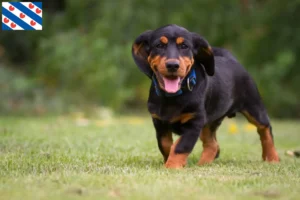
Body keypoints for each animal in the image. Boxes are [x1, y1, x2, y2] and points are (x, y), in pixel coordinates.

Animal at [131, 24, 278, 169]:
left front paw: (172, 166)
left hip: (254, 106)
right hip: (210, 122)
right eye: (159, 45)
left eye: (184, 46)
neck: (173, 97)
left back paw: (272, 157)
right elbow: (165, 145)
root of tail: (232, 59)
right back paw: (203, 164)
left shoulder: (194, 123)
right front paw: (174, 161)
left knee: (265, 128)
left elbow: (180, 146)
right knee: (213, 144)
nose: (172, 65)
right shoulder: (160, 123)